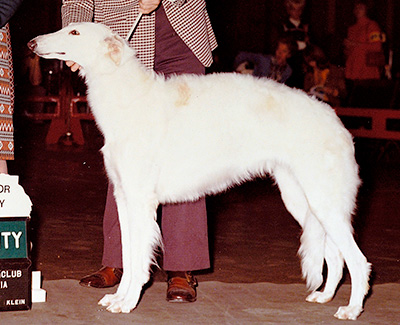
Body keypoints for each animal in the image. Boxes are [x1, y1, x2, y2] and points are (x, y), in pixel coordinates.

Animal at [29, 22, 370, 318]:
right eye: (67, 26)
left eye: (74, 32)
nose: (31, 43)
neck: (131, 98)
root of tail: (335, 119)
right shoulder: (124, 199)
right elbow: (127, 254)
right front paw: (118, 297)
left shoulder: (141, 202)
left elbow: (139, 259)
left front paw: (127, 303)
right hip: (302, 200)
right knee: (336, 255)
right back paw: (324, 296)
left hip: (323, 201)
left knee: (358, 260)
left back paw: (352, 309)